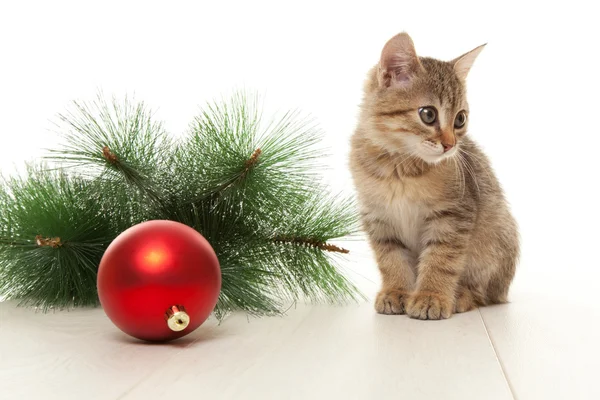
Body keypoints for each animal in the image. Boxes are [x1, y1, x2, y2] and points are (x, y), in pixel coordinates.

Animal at [350, 32, 516, 320]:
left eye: (460, 119)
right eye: (428, 114)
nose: (450, 145)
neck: (399, 167)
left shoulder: (452, 216)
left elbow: (440, 260)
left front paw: (431, 296)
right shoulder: (378, 217)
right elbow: (391, 259)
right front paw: (396, 290)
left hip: (497, 240)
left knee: (485, 293)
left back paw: (460, 296)